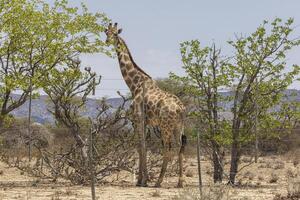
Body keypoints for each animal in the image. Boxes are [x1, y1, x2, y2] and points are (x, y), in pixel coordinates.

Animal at [104, 22, 186, 188]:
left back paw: (159, 182)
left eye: (115, 33)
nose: (107, 41)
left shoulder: (137, 119)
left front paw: (142, 180)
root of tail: (180, 109)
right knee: (179, 146)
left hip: (165, 125)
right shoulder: (146, 122)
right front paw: (143, 179)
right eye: (106, 32)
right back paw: (180, 182)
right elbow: (144, 146)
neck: (134, 84)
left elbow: (140, 146)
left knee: (168, 148)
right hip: (178, 126)